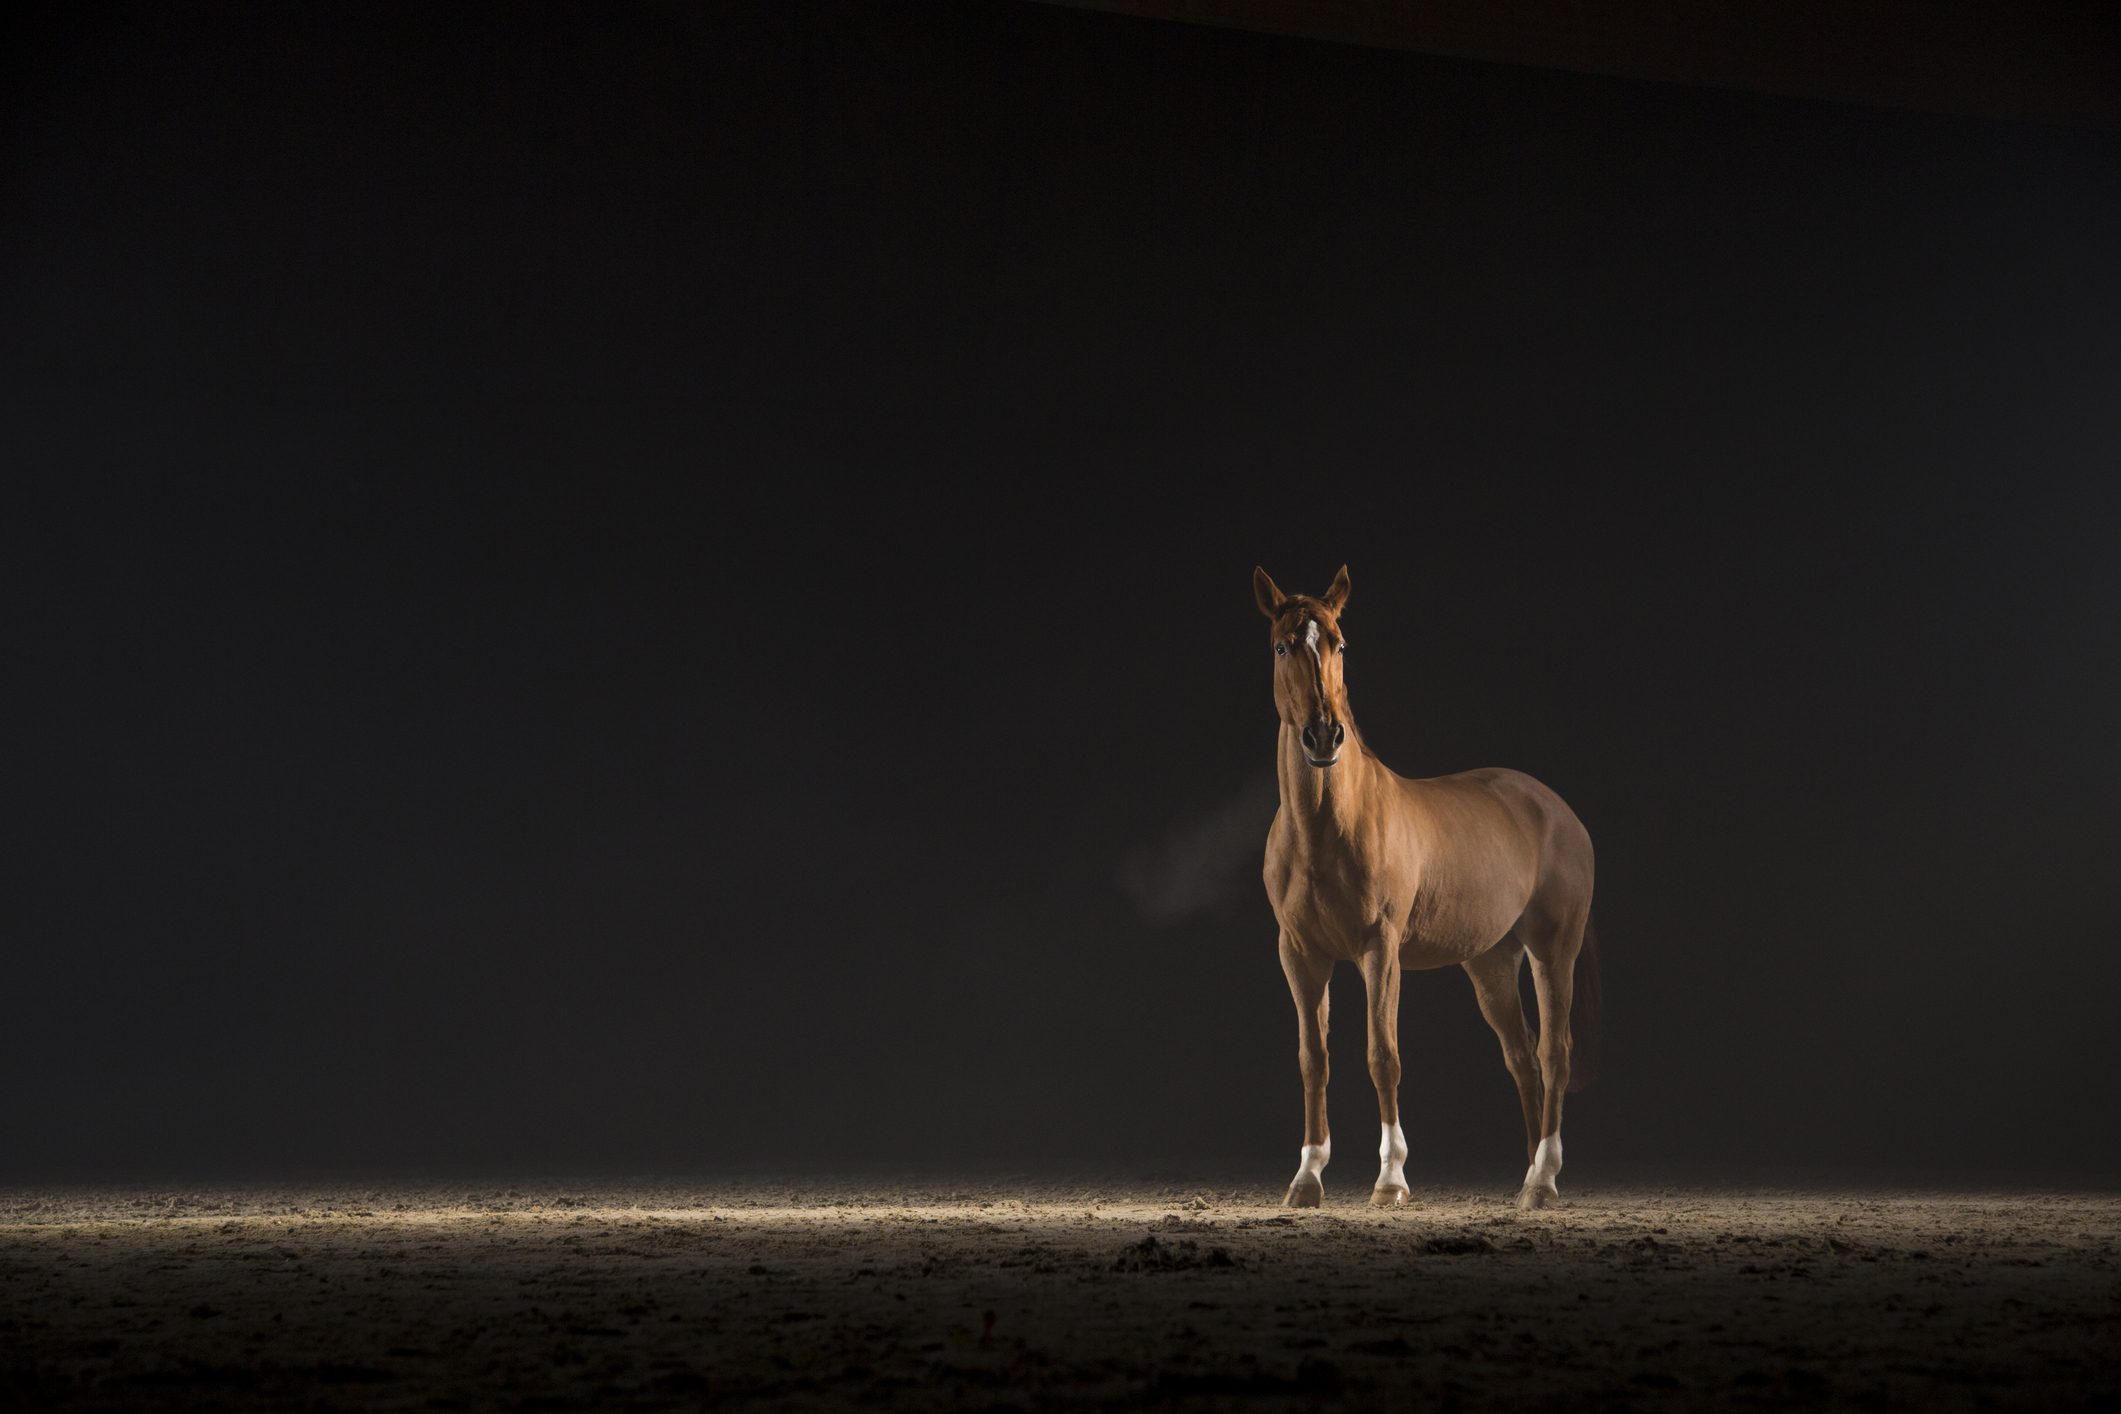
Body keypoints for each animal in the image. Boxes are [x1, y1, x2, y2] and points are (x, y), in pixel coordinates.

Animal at [1254, 565, 1601, 1211]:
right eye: (1283, 646)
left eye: (1340, 643)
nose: (1323, 736)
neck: (1324, 830)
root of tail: (1558, 810)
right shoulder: (1300, 953)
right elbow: (1313, 1058)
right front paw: (1307, 1176)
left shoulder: (1379, 948)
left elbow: (1382, 1055)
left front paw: (1391, 1178)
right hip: (1491, 963)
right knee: (1523, 1059)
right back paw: (1530, 1173)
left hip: (1552, 951)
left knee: (1554, 1053)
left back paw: (1543, 1180)